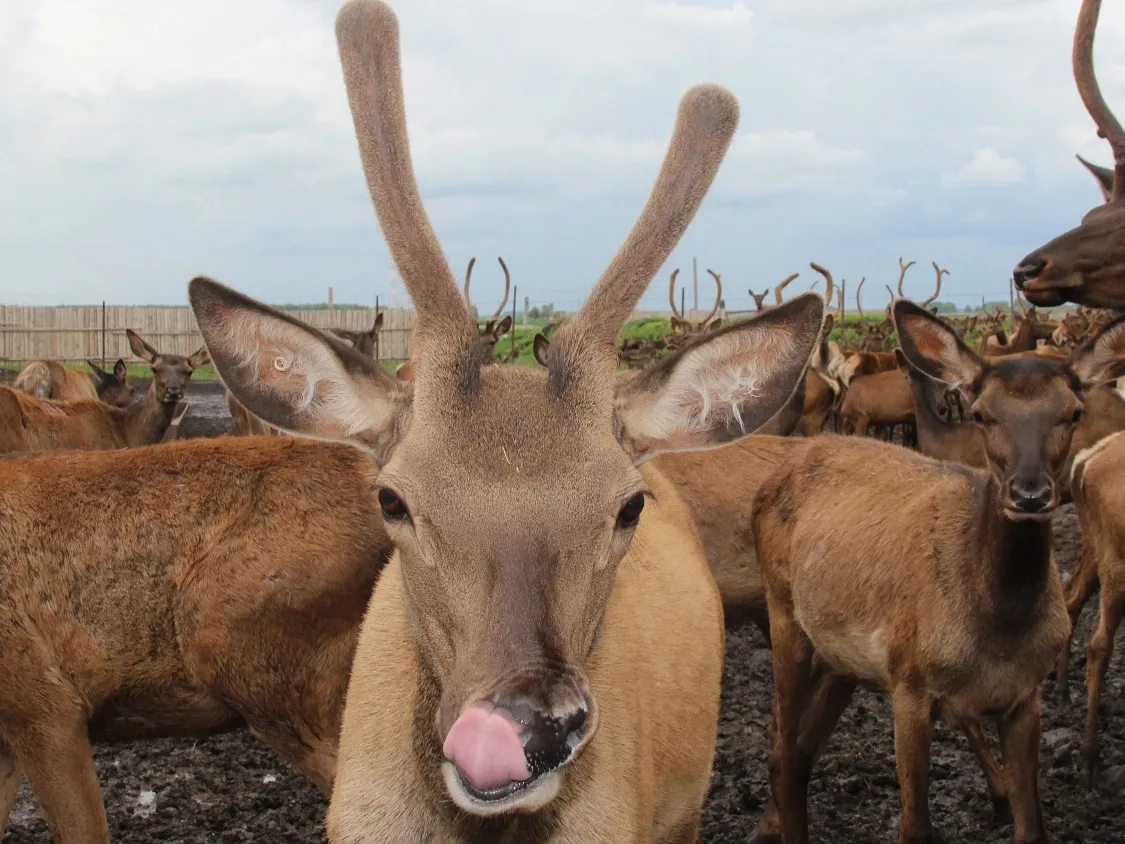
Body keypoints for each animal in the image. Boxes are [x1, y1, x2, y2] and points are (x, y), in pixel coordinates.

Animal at [751, 301, 1125, 844]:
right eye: (981, 413)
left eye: (1073, 412)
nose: (1030, 493)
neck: (996, 633)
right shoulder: (909, 684)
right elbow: (915, 828)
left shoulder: (1023, 698)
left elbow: (1033, 827)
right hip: (784, 617)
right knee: (780, 750)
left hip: (842, 661)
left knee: (798, 753)